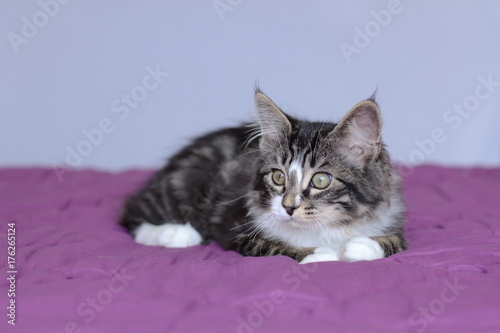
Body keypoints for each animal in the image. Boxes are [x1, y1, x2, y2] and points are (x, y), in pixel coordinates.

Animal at [121, 89, 406, 264]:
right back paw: (176, 233)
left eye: (321, 180)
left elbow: (395, 241)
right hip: (183, 187)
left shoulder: (392, 219)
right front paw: (323, 255)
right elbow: (277, 247)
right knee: (131, 214)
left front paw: (360, 246)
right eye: (278, 177)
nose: (288, 207)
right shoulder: (238, 231)